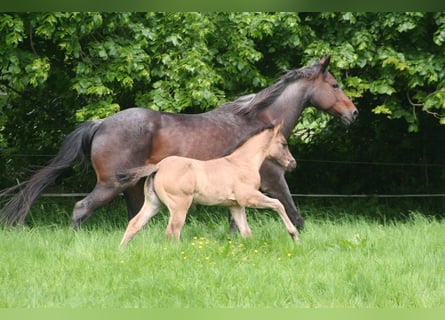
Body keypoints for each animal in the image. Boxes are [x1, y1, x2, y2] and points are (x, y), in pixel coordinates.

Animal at [0, 55, 358, 230]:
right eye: (335, 85)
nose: (353, 114)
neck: (260, 121)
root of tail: (101, 123)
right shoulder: (274, 180)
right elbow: (295, 215)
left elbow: (235, 223)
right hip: (111, 185)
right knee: (80, 209)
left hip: (133, 187)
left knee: (134, 217)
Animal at [119, 123, 296, 248]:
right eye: (284, 143)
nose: (292, 163)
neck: (242, 163)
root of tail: (159, 166)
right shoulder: (249, 198)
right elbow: (278, 204)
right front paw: (294, 235)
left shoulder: (236, 206)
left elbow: (246, 232)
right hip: (179, 206)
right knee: (173, 231)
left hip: (154, 203)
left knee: (135, 224)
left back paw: (121, 251)